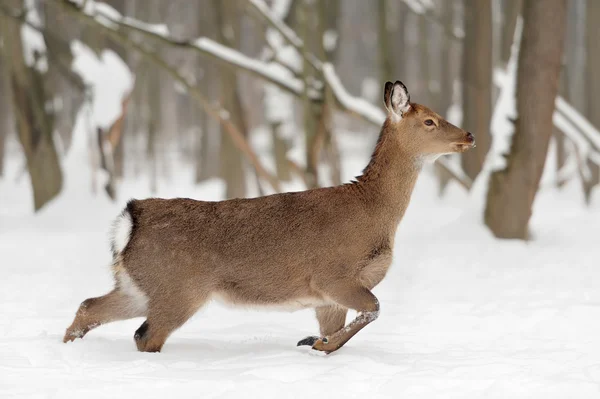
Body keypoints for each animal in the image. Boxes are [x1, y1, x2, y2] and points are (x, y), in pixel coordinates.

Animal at [64, 79, 474, 354]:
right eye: (430, 121)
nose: (469, 135)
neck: (374, 213)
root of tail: (130, 220)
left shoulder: (326, 298)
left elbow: (343, 326)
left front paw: (318, 342)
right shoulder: (332, 275)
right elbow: (373, 309)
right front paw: (317, 343)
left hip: (139, 285)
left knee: (88, 307)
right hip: (178, 287)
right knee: (144, 335)